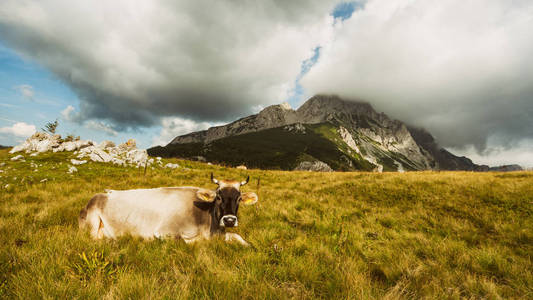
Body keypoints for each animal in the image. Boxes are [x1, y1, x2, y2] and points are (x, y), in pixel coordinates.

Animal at [78, 173, 258, 246]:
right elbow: (185, 241)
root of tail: (105, 193)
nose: (229, 220)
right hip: (92, 222)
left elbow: (237, 236)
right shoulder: (164, 231)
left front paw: (250, 246)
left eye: (239, 198)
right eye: (219, 196)